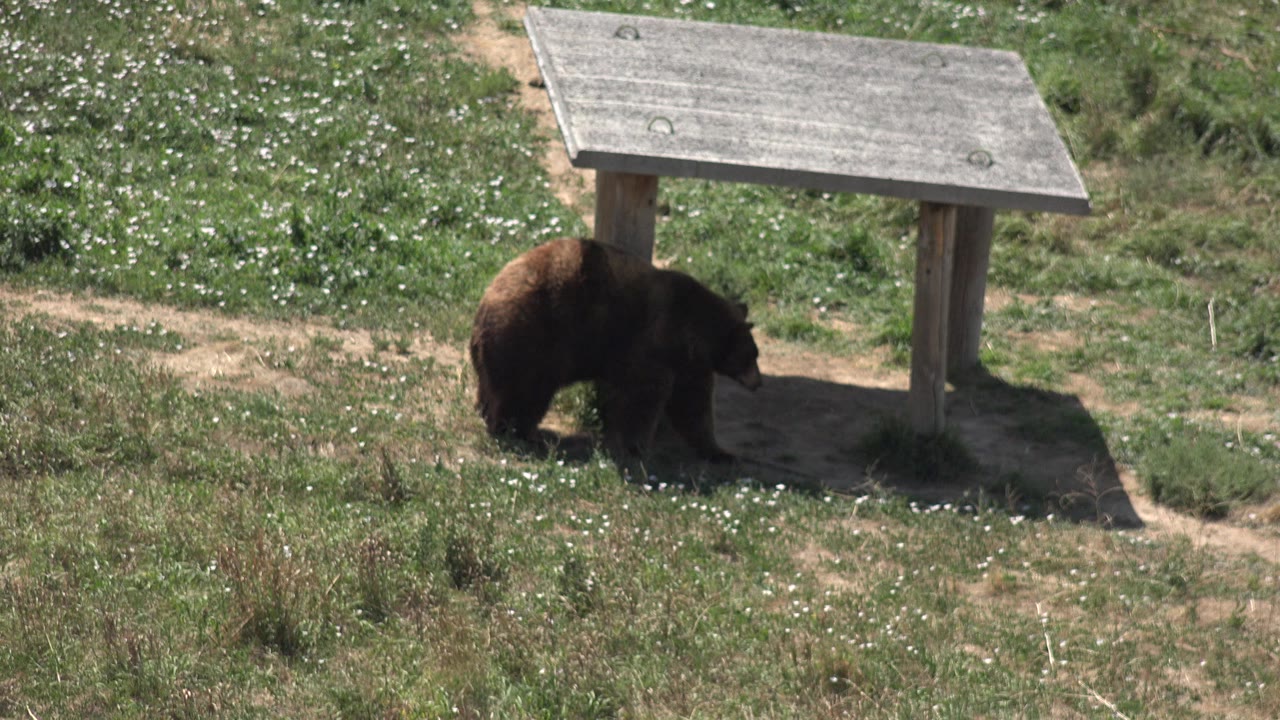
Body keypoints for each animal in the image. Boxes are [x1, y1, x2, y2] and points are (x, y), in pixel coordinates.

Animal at [469, 237, 762, 462]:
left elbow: (692, 404)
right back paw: (518, 431)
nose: (758, 382)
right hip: (534, 338)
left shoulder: (688, 362)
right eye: (752, 355)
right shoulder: (656, 342)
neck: (696, 330)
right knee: (526, 392)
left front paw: (720, 452)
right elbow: (649, 396)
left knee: (496, 388)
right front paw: (637, 447)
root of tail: (484, 307)